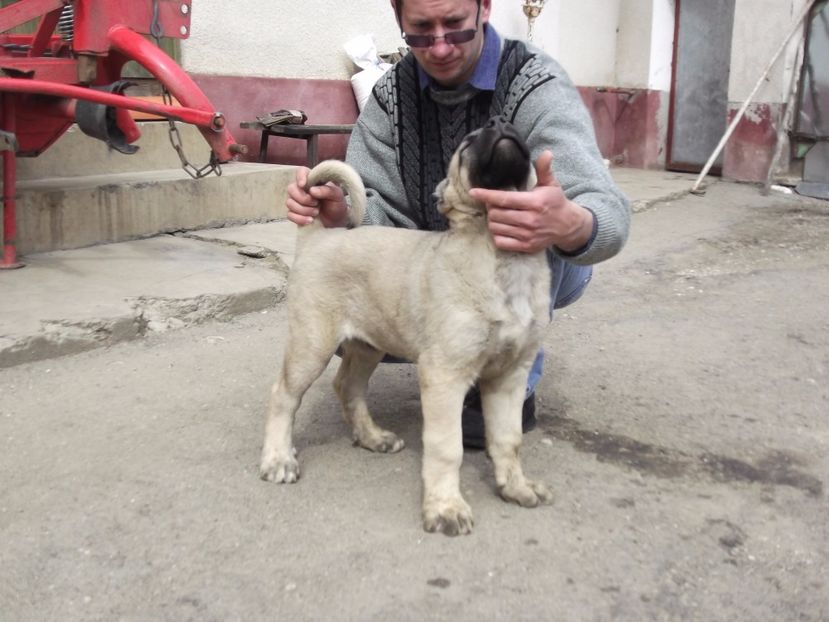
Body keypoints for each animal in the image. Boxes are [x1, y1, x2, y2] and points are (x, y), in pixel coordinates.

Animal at [260, 119, 548, 540]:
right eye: (468, 143)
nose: (499, 124)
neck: (499, 254)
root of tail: (319, 235)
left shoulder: (509, 377)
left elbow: (508, 439)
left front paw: (516, 486)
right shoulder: (444, 375)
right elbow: (447, 448)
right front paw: (446, 508)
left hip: (368, 344)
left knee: (347, 386)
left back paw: (372, 437)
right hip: (311, 344)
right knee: (283, 395)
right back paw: (278, 458)